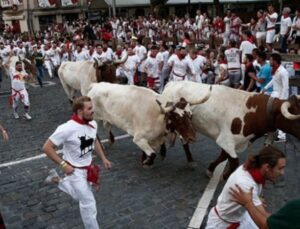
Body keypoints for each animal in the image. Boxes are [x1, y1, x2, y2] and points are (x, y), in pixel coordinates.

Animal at [163, 81, 300, 180]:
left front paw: (211, 169)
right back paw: (187, 159)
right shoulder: (226, 139)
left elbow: (224, 156)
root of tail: (172, 83)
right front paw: (225, 176)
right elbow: (234, 162)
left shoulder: (233, 141)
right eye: (296, 118)